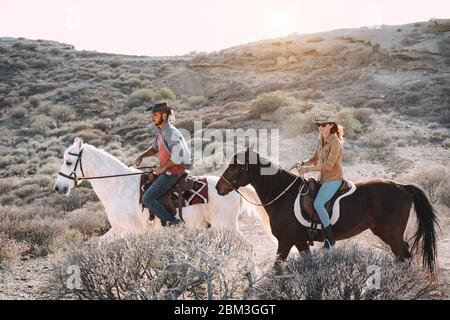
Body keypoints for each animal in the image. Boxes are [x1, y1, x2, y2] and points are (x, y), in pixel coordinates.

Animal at [53, 138, 270, 245]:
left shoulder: (132, 231)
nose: (58, 187)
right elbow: (99, 244)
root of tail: (231, 188)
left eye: (69, 162)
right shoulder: (117, 229)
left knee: (248, 246)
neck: (119, 187)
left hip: (226, 226)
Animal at [215, 149, 440, 274]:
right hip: (385, 233)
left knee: (404, 256)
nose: (218, 187)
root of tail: (402, 186)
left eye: (235, 167)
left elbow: (276, 269)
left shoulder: (285, 242)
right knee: (403, 256)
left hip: (391, 234)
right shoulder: (300, 242)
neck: (283, 195)